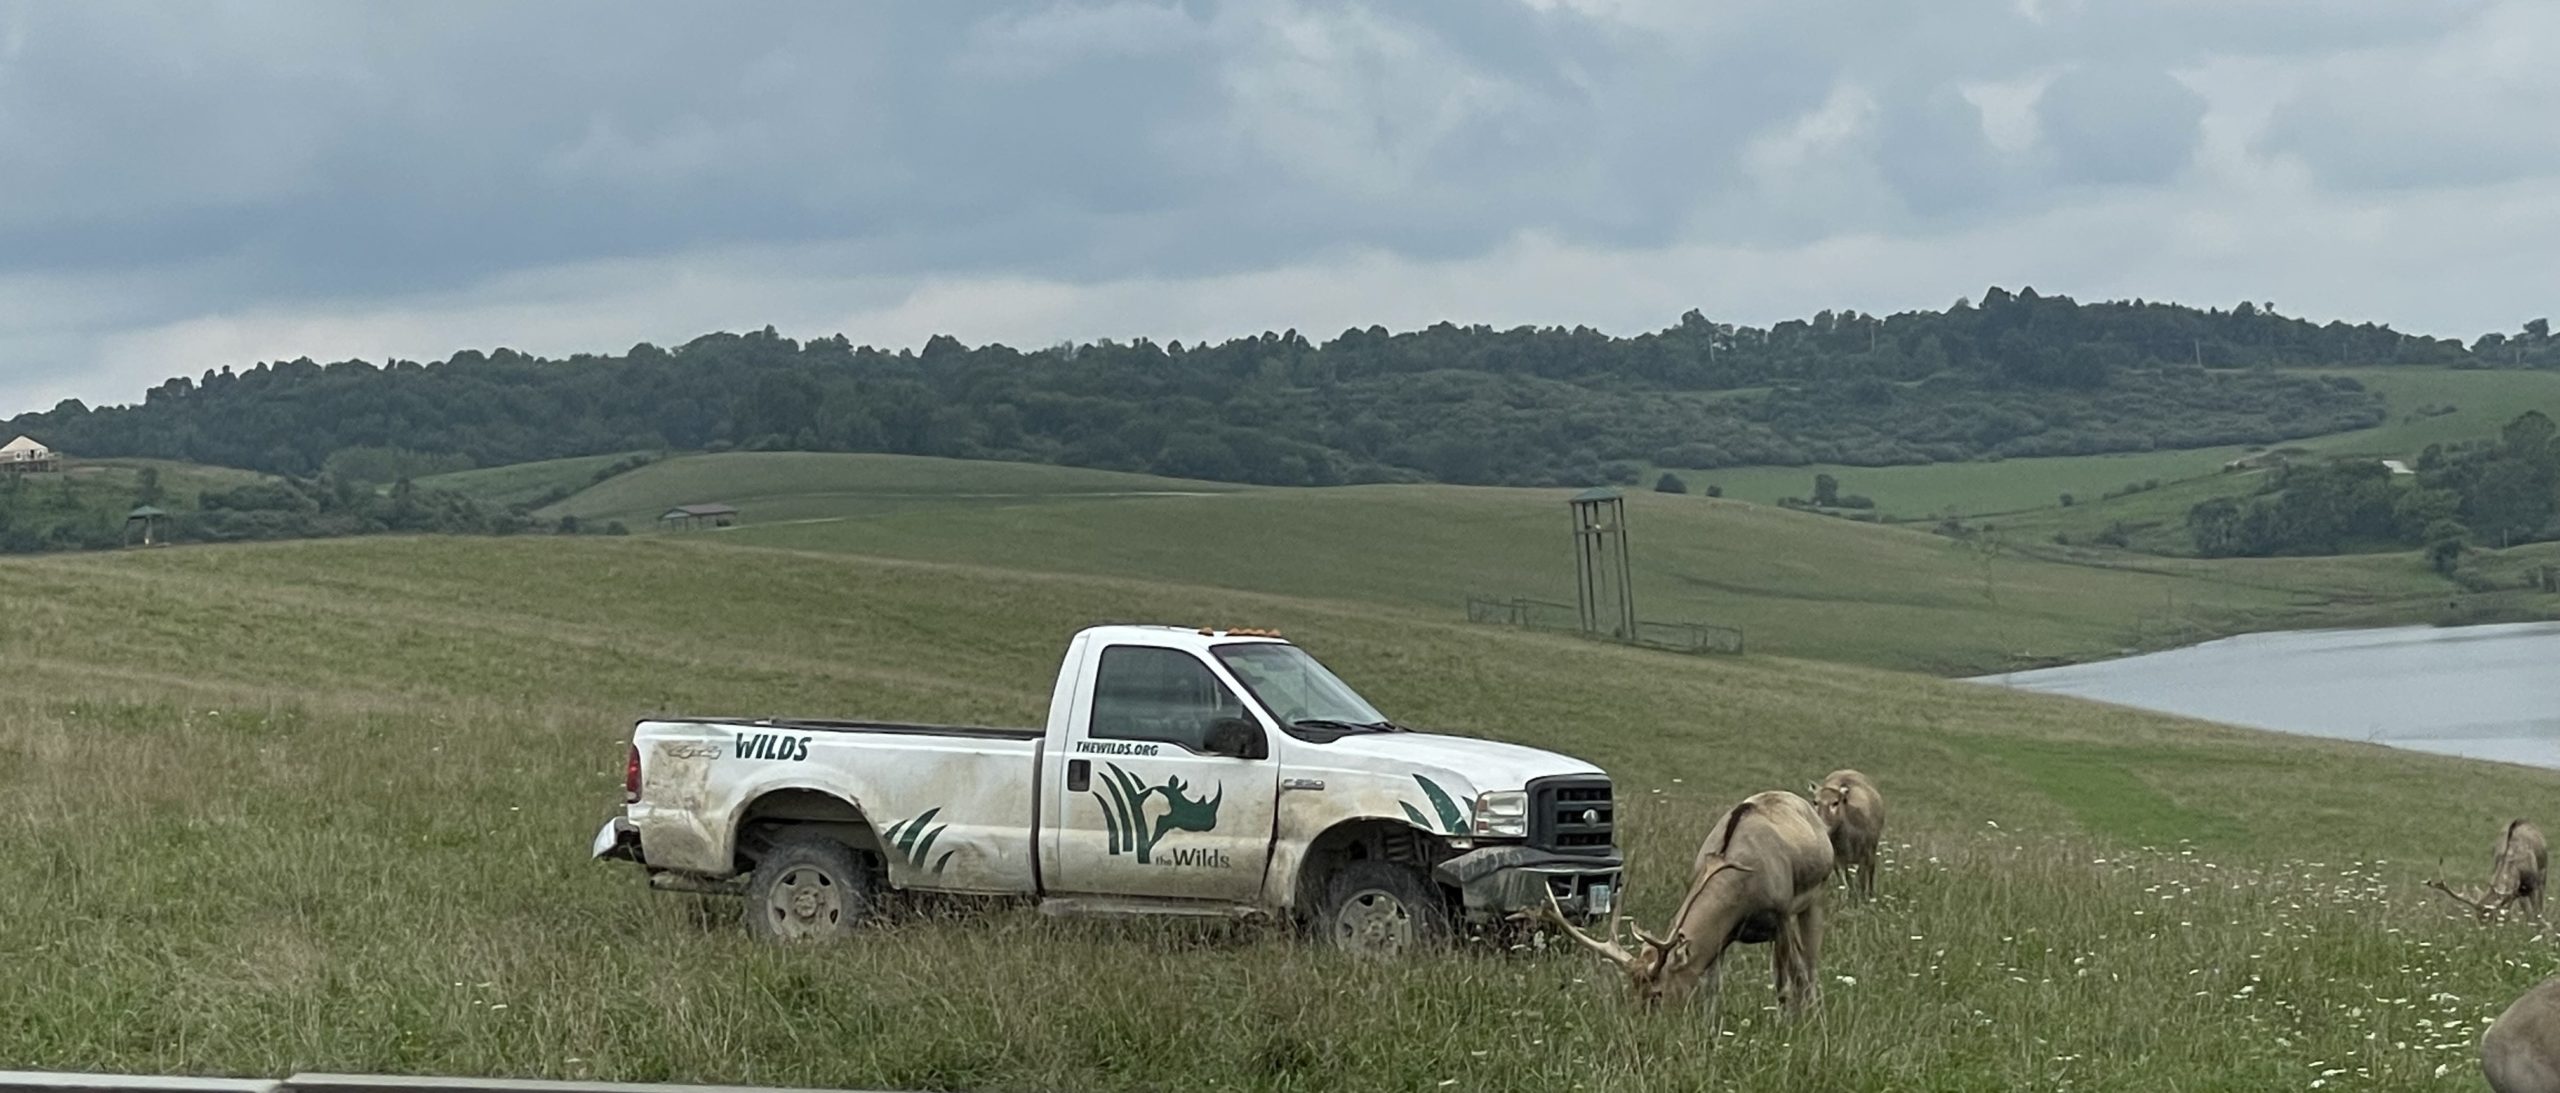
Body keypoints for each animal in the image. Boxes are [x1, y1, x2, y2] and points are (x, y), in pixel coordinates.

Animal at [1525, 793, 1832, 1013]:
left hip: (1814, 898)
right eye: (1631, 991)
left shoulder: (1781, 914)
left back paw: (1811, 1012)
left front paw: (1788, 1023)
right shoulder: (1724, 935)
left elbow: (1788, 980)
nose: (1641, 1023)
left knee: (1806, 967)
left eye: (1657, 994)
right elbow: (1712, 986)